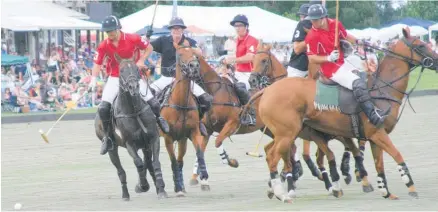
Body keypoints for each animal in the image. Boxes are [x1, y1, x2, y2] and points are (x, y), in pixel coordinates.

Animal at [93, 53, 166, 200]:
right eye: (121, 70)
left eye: (136, 69)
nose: (133, 87)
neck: (134, 110)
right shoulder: (129, 143)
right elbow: (139, 163)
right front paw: (142, 186)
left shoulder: (153, 138)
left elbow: (155, 163)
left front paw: (161, 190)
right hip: (112, 148)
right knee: (121, 170)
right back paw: (125, 194)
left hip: (145, 146)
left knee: (148, 164)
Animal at [159, 40, 210, 196]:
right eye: (180, 54)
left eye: (194, 53)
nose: (194, 66)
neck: (180, 104)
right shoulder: (168, 137)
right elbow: (173, 161)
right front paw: (178, 188)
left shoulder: (193, 132)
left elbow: (199, 152)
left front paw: (204, 175)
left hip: (182, 140)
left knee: (180, 160)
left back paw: (181, 186)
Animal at [255, 27, 436, 203]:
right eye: (421, 45)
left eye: (263, 60)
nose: (436, 61)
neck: (382, 89)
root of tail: (267, 90)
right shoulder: (377, 133)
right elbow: (396, 154)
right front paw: (411, 187)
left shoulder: (373, 137)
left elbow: (378, 163)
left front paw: (385, 191)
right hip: (287, 133)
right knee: (273, 157)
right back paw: (282, 194)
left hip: (288, 133)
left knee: (275, 153)